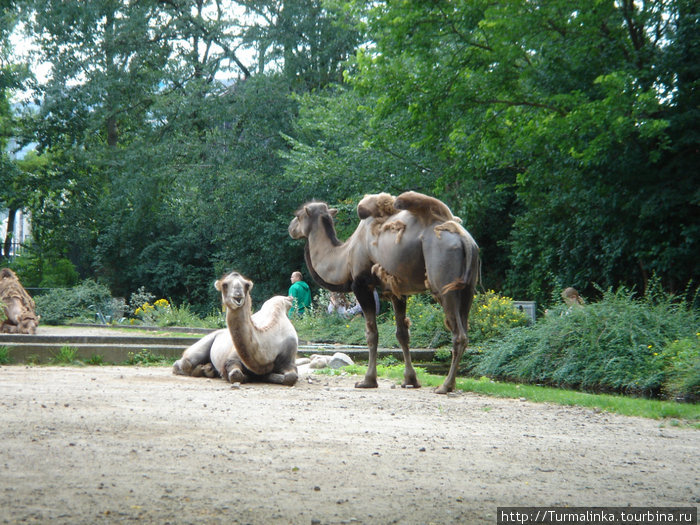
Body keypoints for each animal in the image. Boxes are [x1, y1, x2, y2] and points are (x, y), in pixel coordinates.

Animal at [288, 192, 478, 392]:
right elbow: (402, 334)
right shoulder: (395, 290)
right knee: (464, 326)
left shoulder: (361, 285)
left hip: (443, 282)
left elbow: (372, 334)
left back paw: (445, 386)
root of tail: (464, 239)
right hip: (468, 288)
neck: (344, 257)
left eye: (298, 216)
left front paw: (367, 380)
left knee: (458, 334)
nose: (291, 228)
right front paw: (410, 380)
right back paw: (450, 383)